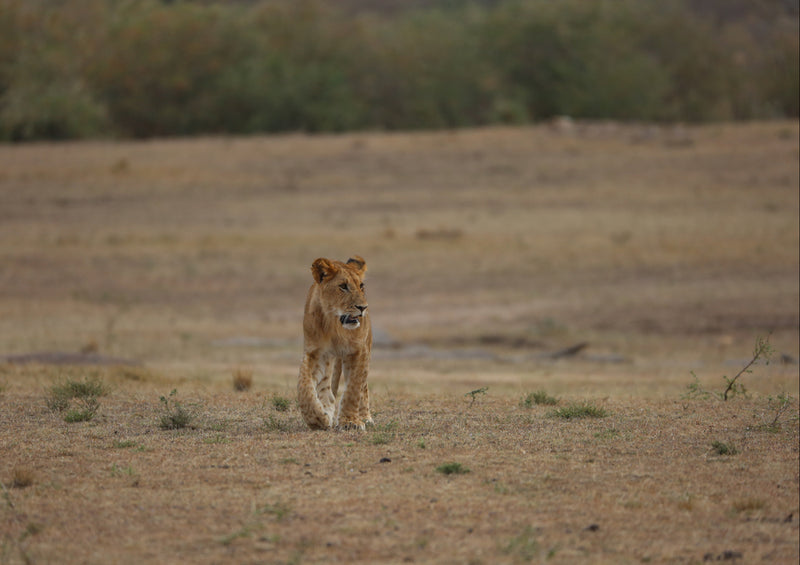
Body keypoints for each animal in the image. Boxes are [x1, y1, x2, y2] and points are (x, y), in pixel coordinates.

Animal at [296, 253, 372, 430]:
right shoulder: (315, 352)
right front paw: (317, 419)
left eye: (361, 286)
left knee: (364, 387)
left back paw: (366, 417)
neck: (335, 325)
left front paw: (350, 421)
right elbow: (304, 386)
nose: (363, 308)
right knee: (326, 388)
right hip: (330, 359)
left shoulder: (357, 351)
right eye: (343, 286)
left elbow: (353, 389)